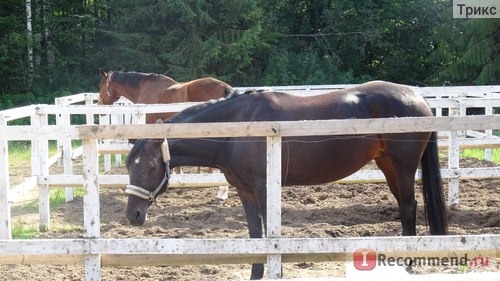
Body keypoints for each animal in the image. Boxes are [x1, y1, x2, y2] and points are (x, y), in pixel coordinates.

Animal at [125, 80, 450, 278]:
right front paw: (256, 274)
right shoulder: (245, 190)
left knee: (408, 207)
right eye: (129, 165)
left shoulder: (264, 186)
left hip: (403, 168)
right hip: (387, 166)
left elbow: (270, 234)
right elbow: (256, 234)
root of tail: (419, 99)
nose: (133, 215)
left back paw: (407, 265)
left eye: (151, 166)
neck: (239, 128)